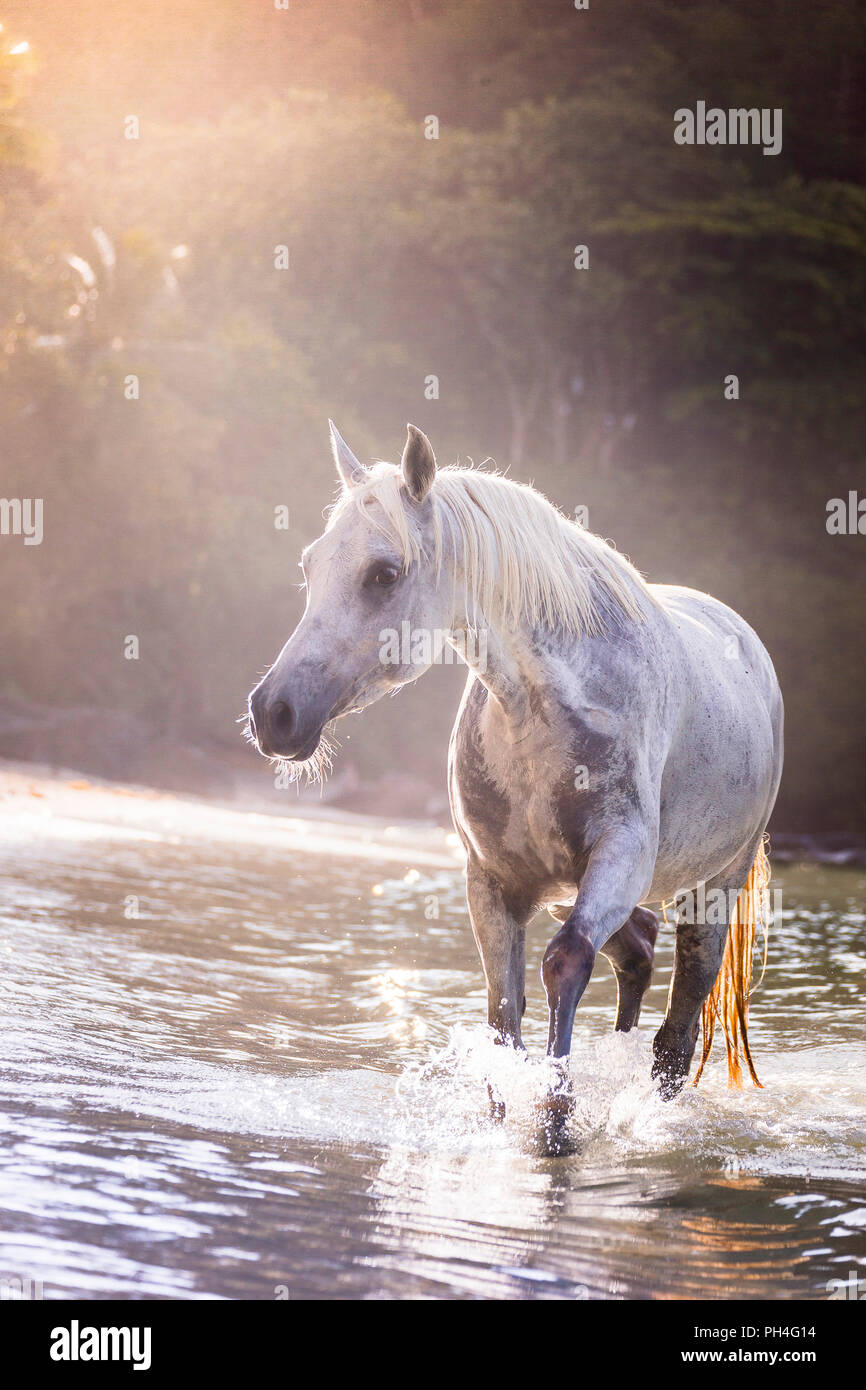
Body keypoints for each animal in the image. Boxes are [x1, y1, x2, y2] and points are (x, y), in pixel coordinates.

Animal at [247, 422, 783, 1150]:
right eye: (309, 566)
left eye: (384, 574)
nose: (273, 712)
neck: (541, 708)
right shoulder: (494, 881)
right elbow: (504, 1011)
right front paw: (506, 1113)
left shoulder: (619, 855)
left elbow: (565, 964)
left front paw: (557, 1117)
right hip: (579, 892)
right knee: (637, 955)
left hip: (710, 891)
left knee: (675, 1035)